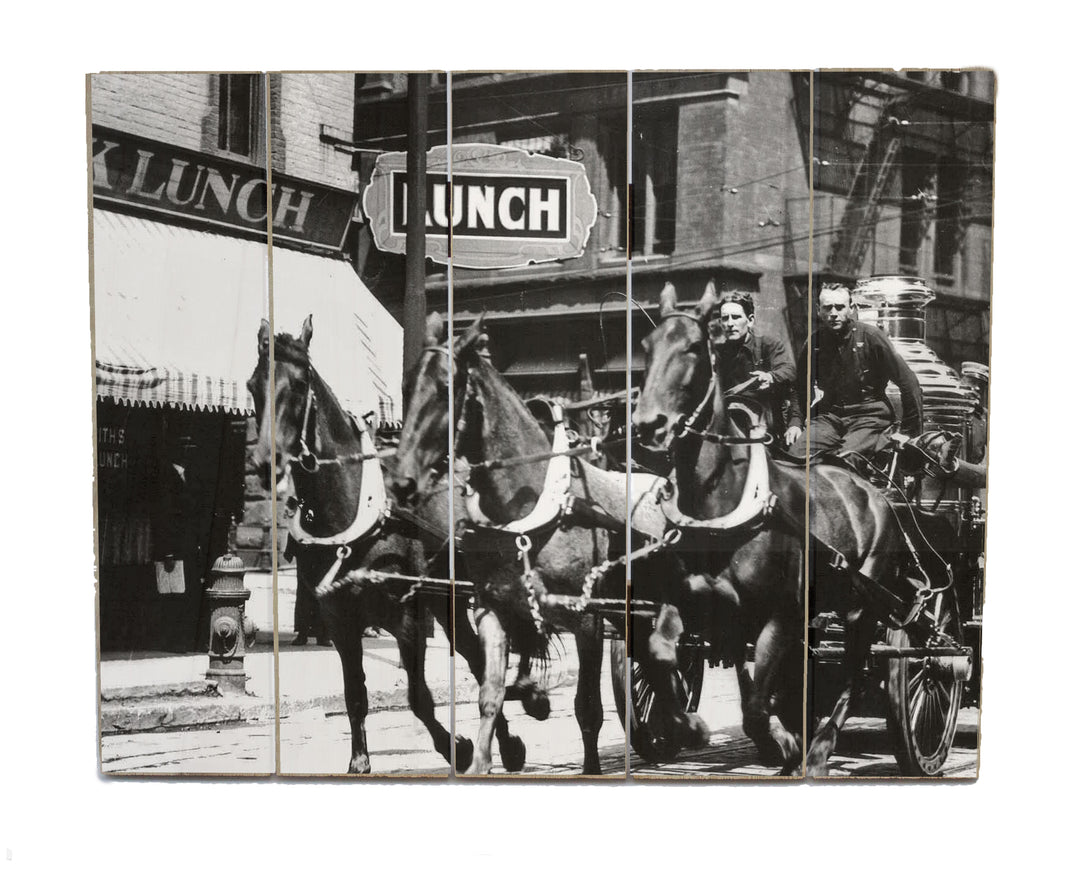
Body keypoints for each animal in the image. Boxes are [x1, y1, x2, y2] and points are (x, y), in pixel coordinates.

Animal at [248, 315, 527, 773]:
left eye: (301, 383)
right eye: (254, 385)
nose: (264, 462)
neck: (355, 514)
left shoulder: (406, 618)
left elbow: (418, 697)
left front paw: (458, 746)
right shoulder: (339, 620)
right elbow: (355, 694)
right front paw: (359, 759)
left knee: (476, 659)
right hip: (447, 601)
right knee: (475, 655)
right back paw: (505, 743)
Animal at [393, 315, 686, 773]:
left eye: (446, 388)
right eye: (407, 389)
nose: (402, 481)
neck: (532, 511)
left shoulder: (586, 618)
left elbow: (587, 708)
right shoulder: (494, 609)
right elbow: (490, 693)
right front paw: (492, 748)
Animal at [630, 280, 920, 773]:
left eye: (694, 348)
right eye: (646, 347)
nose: (648, 424)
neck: (725, 504)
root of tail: (875, 492)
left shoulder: (779, 615)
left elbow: (754, 708)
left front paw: (781, 742)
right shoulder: (693, 602)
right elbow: (662, 654)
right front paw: (688, 726)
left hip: (862, 608)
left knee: (853, 674)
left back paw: (819, 750)